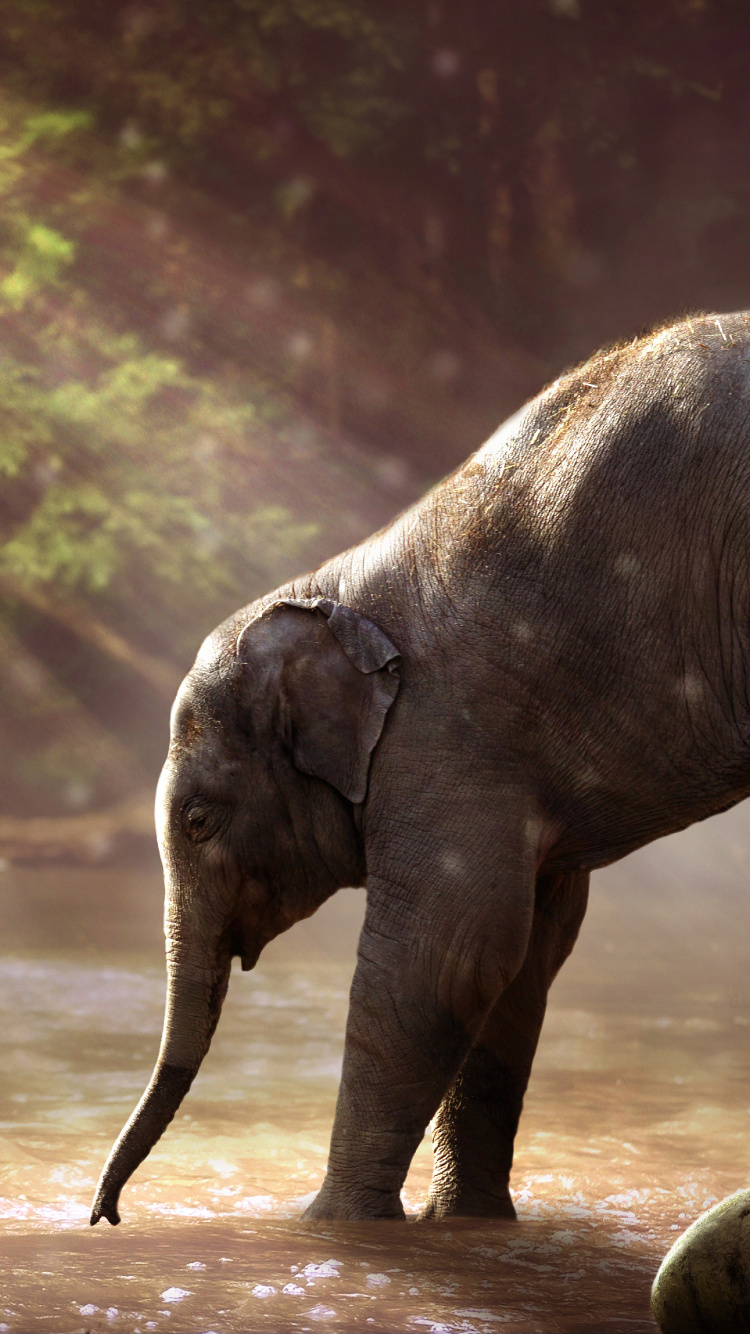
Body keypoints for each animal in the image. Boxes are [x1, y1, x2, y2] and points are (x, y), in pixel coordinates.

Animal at [91, 309, 750, 1225]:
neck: (335, 587)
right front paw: (463, 1225)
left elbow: (447, 953)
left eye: (197, 820)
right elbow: (523, 956)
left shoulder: (448, 739)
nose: (106, 1214)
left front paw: (329, 1226)